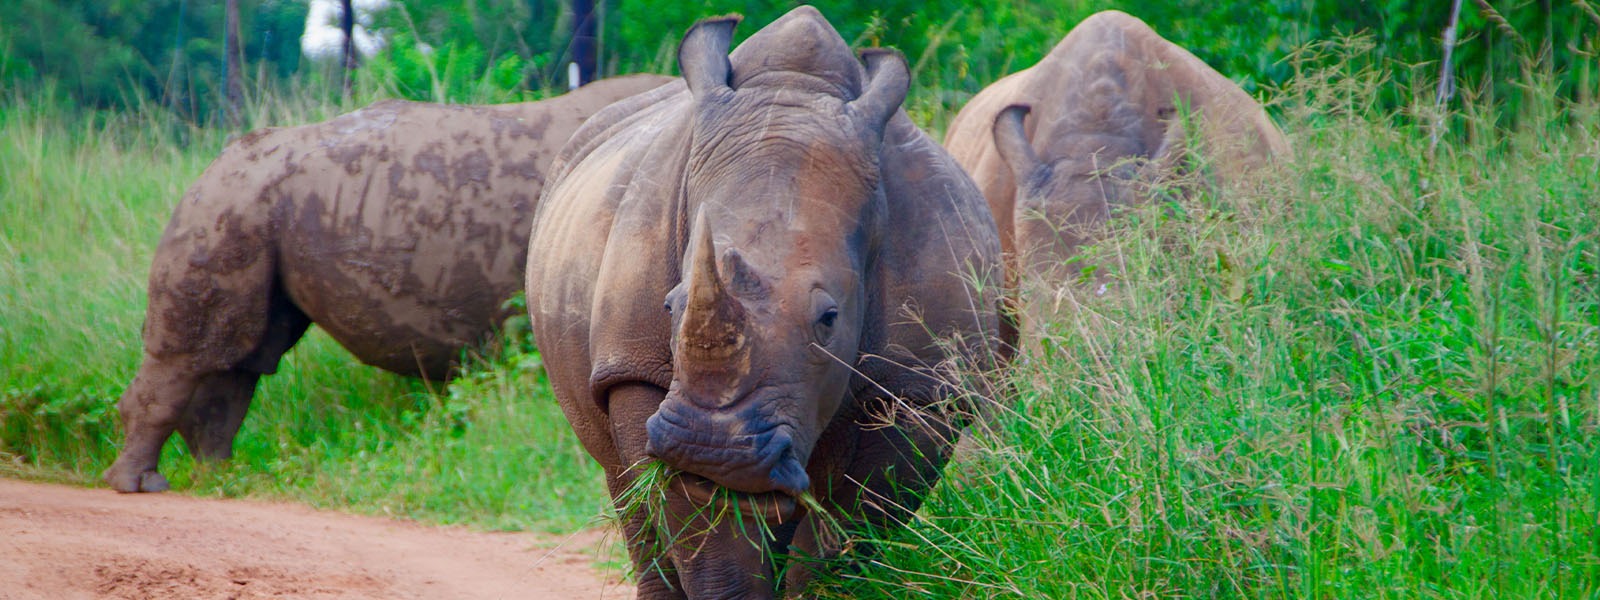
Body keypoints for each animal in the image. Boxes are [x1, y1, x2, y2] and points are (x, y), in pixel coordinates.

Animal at [104, 74, 674, 494]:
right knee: (202, 351)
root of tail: (214, 161)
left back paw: (219, 478)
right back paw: (141, 485)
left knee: (245, 355)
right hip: (230, 203)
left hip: (255, 205)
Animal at [524, 7, 1006, 598]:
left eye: (829, 319)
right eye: (669, 306)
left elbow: (844, 539)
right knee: (627, 490)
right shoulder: (635, 367)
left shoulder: (921, 389)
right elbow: (708, 540)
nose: (712, 449)